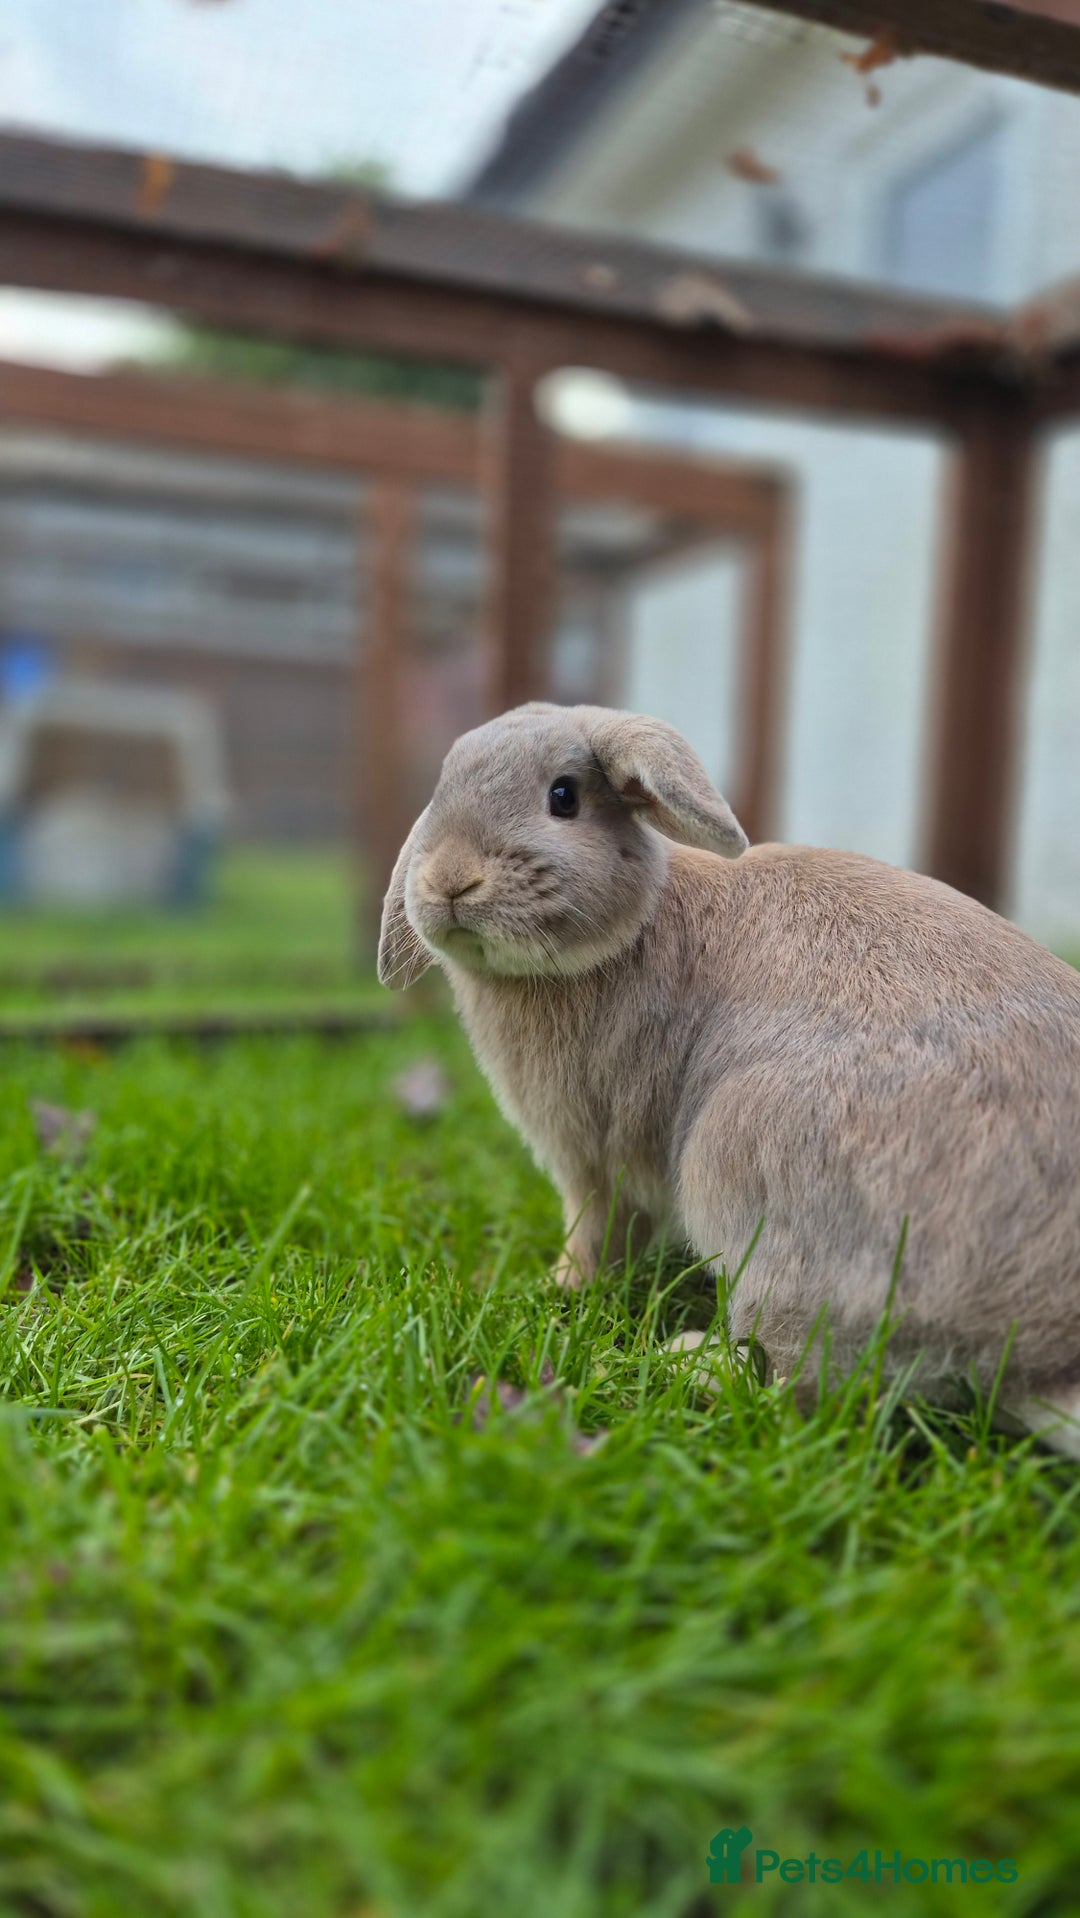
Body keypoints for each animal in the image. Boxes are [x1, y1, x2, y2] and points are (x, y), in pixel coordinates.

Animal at [378, 702, 1080, 1457]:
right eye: (440, 791)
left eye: (563, 797)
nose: (450, 880)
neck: (635, 926)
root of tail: (1031, 1353)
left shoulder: (596, 1157)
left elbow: (597, 1231)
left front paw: (561, 1287)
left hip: (747, 1175)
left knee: (799, 1393)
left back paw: (685, 1360)